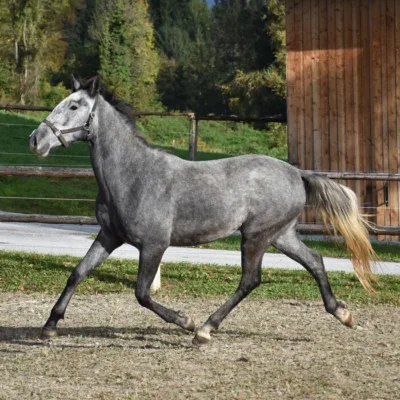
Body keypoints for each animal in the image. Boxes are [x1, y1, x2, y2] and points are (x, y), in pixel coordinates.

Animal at [30, 77, 376, 344]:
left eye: (74, 106)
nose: (36, 139)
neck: (132, 175)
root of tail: (297, 173)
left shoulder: (154, 245)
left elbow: (142, 294)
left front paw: (187, 322)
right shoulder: (109, 236)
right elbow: (78, 273)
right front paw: (49, 326)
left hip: (256, 236)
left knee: (250, 280)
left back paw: (205, 330)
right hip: (280, 235)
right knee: (315, 261)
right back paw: (343, 313)